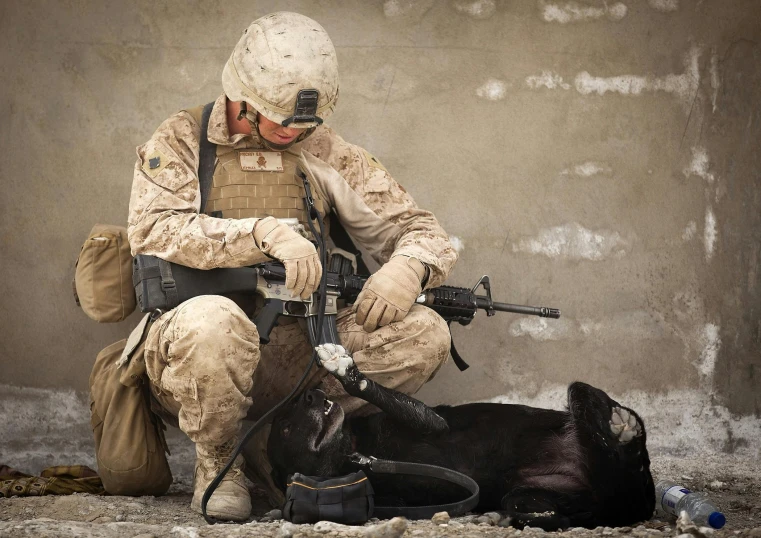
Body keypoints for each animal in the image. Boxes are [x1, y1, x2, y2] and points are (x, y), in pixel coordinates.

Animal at [268, 344, 652, 528]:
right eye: (285, 428)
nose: (312, 394)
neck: (355, 452)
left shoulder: (432, 423)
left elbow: (376, 391)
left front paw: (345, 369)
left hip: (580, 394)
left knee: (625, 448)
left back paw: (624, 428)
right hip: (528, 494)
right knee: (559, 513)